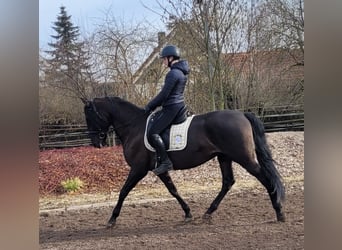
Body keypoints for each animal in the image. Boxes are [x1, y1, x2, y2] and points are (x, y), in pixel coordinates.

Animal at [83, 96, 286, 229]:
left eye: (89, 116)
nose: (95, 142)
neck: (134, 126)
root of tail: (242, 115)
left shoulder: (138, 169)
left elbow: (124, 191)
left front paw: (112, 219)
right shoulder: (160, 169)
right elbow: (173, 190)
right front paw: (188, 213)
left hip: (244, 158)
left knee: (265, 179)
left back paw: (279, 212)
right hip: (224, 157)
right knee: (228, 182)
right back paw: (208, 213)